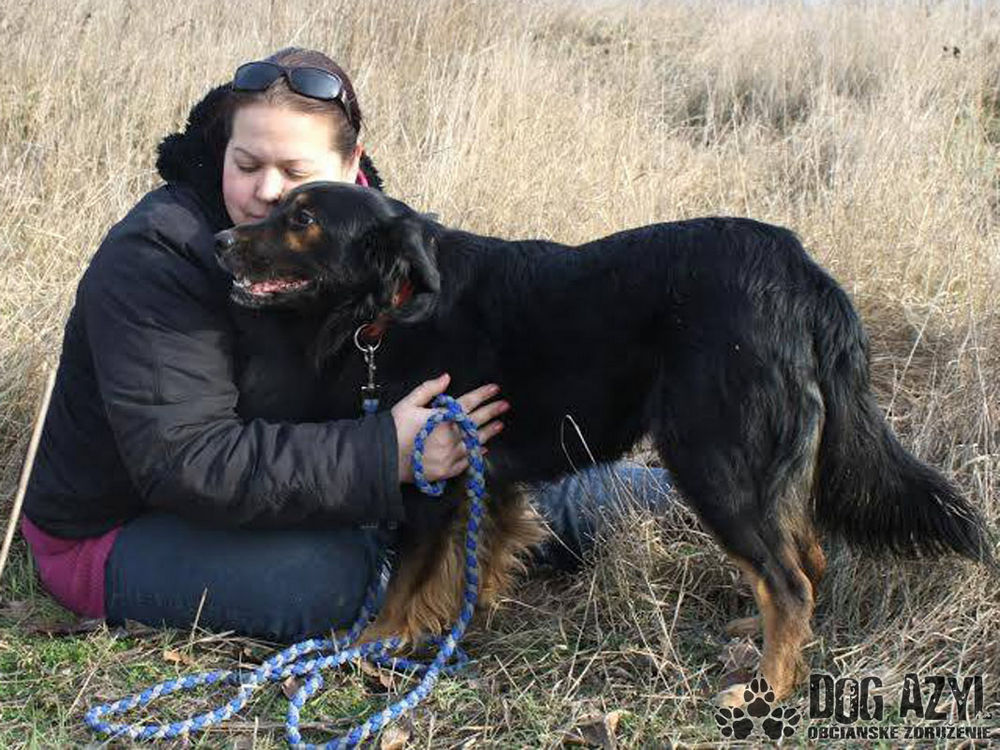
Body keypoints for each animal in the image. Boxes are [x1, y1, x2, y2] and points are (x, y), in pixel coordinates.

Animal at [214, 182, 993, 704]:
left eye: (302, 218)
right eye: (278, 203)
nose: (220, 242)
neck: (397, 299)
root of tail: (803, 274)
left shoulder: (434, 468)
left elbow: (405, 578)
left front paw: (368, 645)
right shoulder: (489, 476)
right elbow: (476, 559)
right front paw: (465, 619)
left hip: (711, 458)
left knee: (791, 578)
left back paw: (768, 687)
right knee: (808, 557)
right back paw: (759, 637)